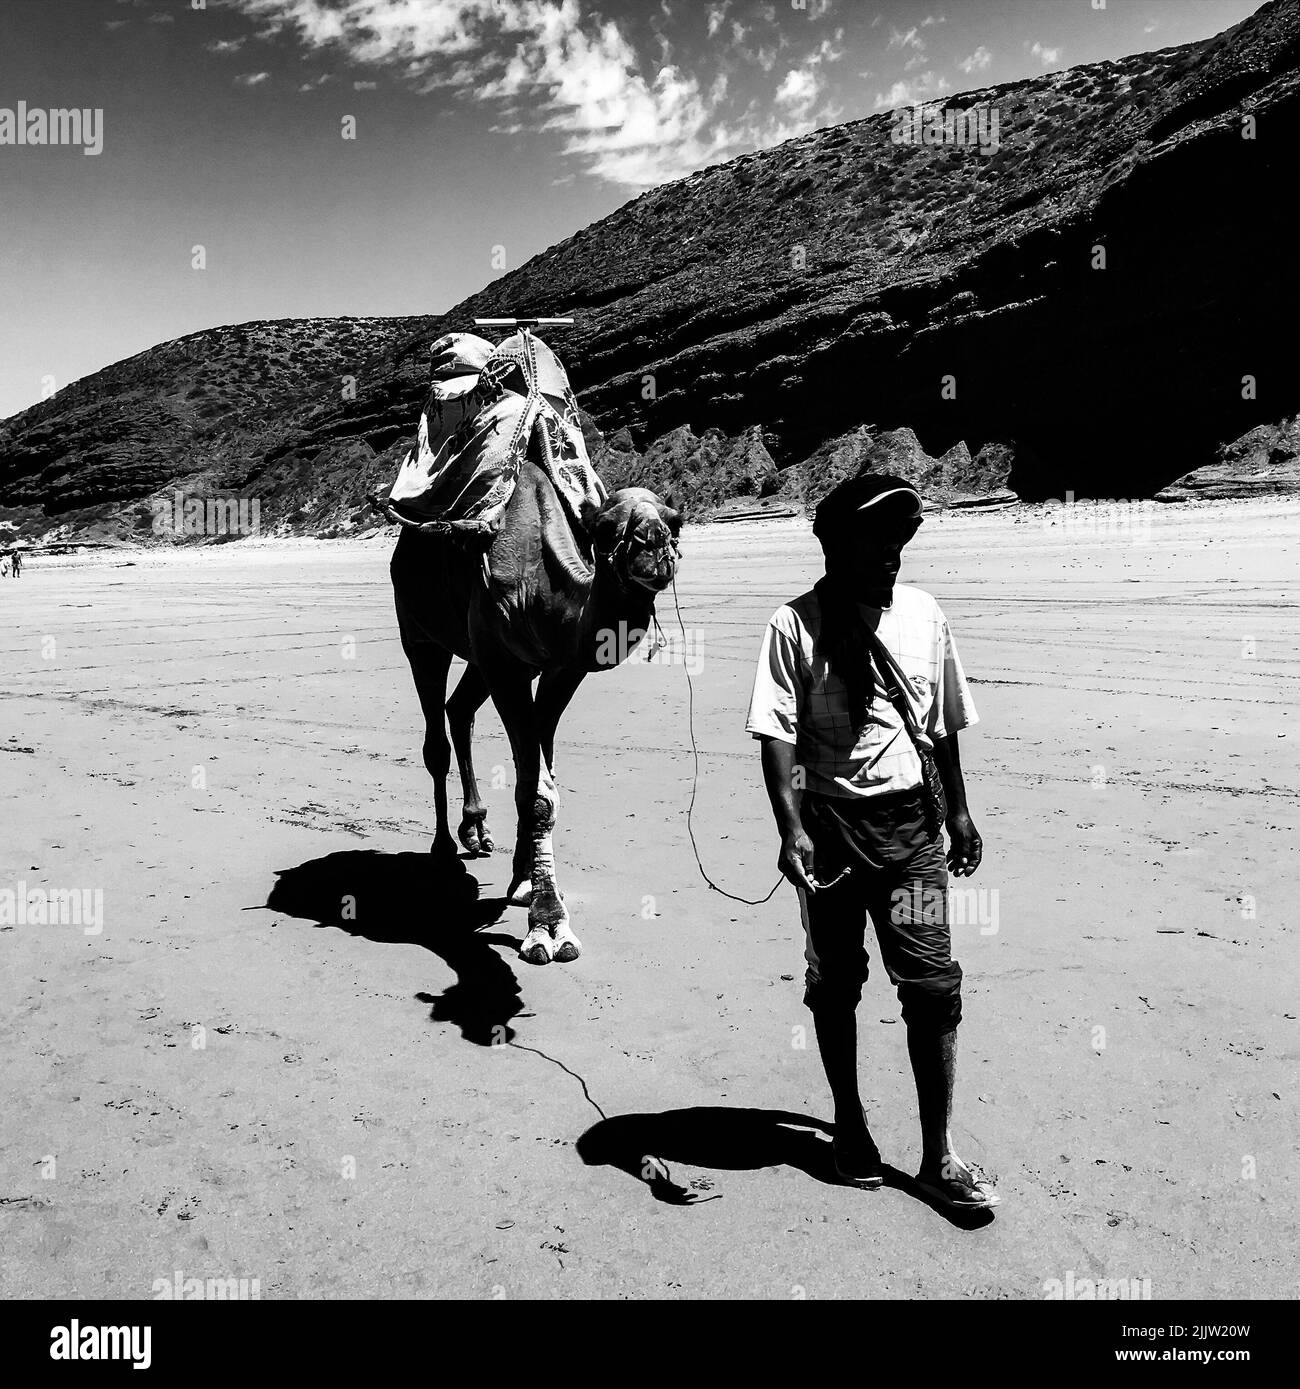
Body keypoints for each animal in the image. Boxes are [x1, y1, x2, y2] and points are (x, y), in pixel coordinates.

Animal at [391, 455, 686, 966]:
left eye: (676, 522)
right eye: (604, 527)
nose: (654, 548)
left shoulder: (556, 668)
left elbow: (538, 777)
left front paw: (526, 880)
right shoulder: (504, 663)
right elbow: (537, 791)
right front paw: (548, 926)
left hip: (479, 656)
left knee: (458, 709)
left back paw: (477, 830)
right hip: (420, 633)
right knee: (434, 737)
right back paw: (444, 848)